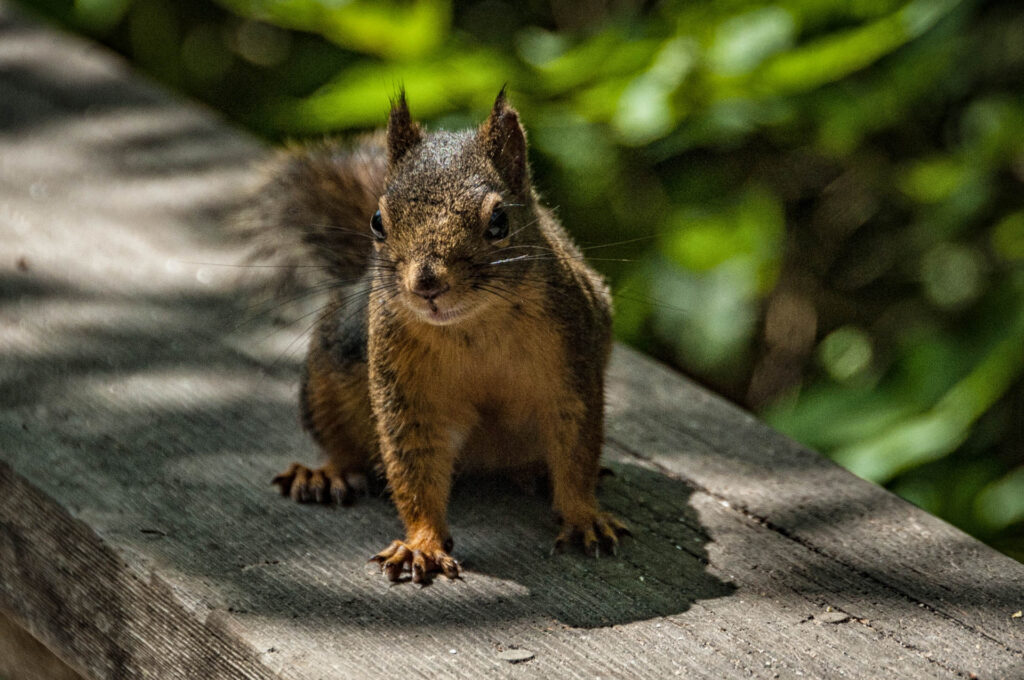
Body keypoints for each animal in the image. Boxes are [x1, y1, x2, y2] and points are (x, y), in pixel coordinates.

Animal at [240, 87, 626, 581]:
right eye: (377, 221)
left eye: (499, 221)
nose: (426, 284)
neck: (472, 325)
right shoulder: (404, 384)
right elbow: (412, 462)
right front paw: (421, 544)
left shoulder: (573, 366)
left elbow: (576, 448)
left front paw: (583, 516)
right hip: (326, 376)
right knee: (342, 445)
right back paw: (324, 474)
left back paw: (539, 473)